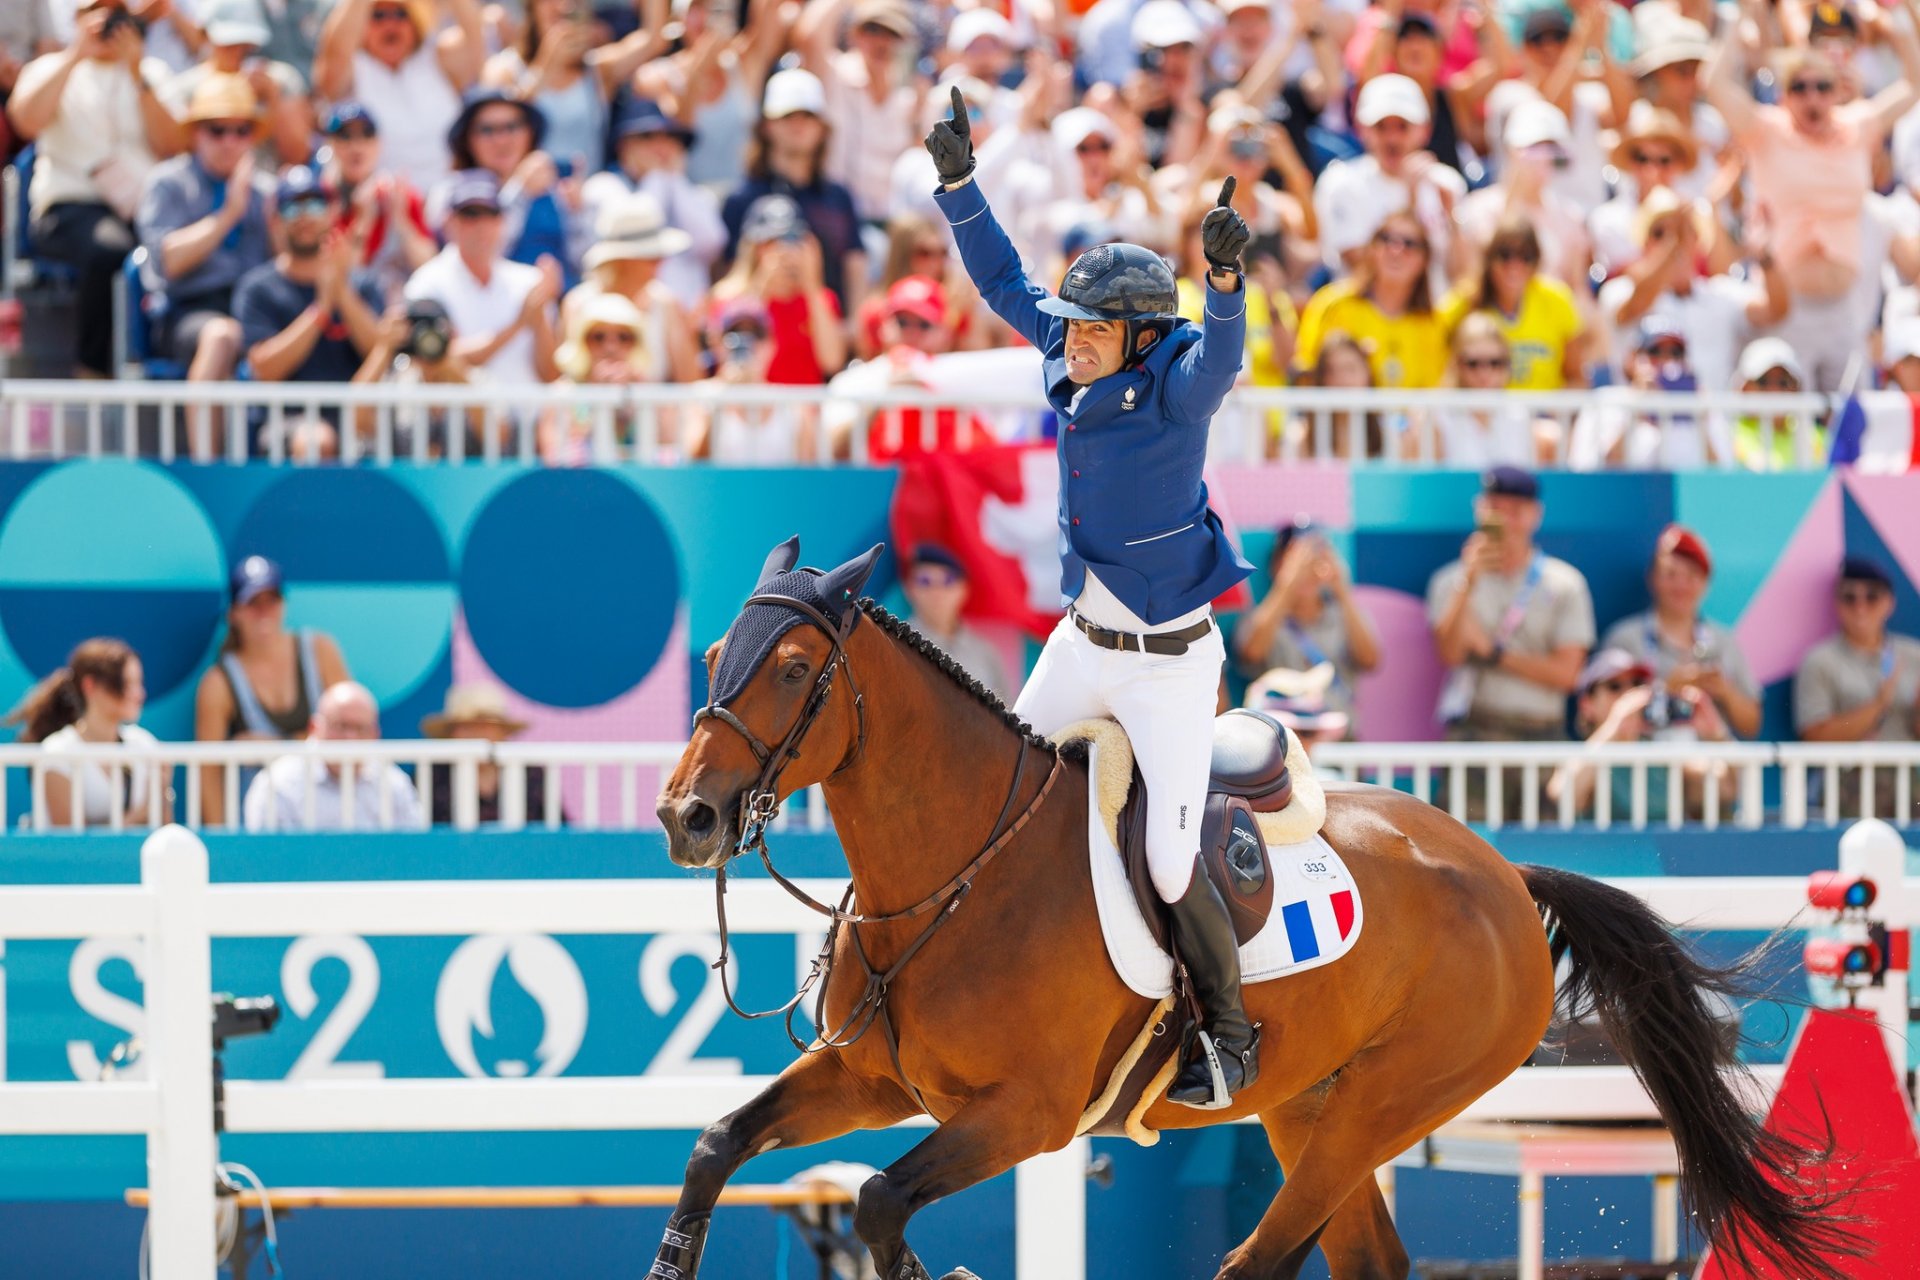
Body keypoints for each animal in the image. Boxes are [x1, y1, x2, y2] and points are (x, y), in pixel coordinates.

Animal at [656, 537, 1858, 1280]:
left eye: (793, 668)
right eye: (713, 654)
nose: (687, 815)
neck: (953, 875)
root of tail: (1506, 876)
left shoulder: (1024, 1114)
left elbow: (875, 1201)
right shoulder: (867, 1081)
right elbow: (717, 1143)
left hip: (1384, 1102)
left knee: (1261, 1258)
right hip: (1310, 1106)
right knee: (1364, 1256)